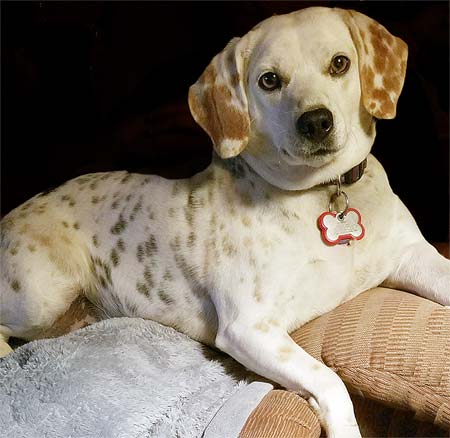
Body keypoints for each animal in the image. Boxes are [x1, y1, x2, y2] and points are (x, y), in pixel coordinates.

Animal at [0, 6, 450, 434]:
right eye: (269, 81)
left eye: (340, 63)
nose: (316, 122)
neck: (325, 192)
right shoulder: (249, 328)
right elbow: (330, 381)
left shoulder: (413, 256)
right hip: (41, 295)